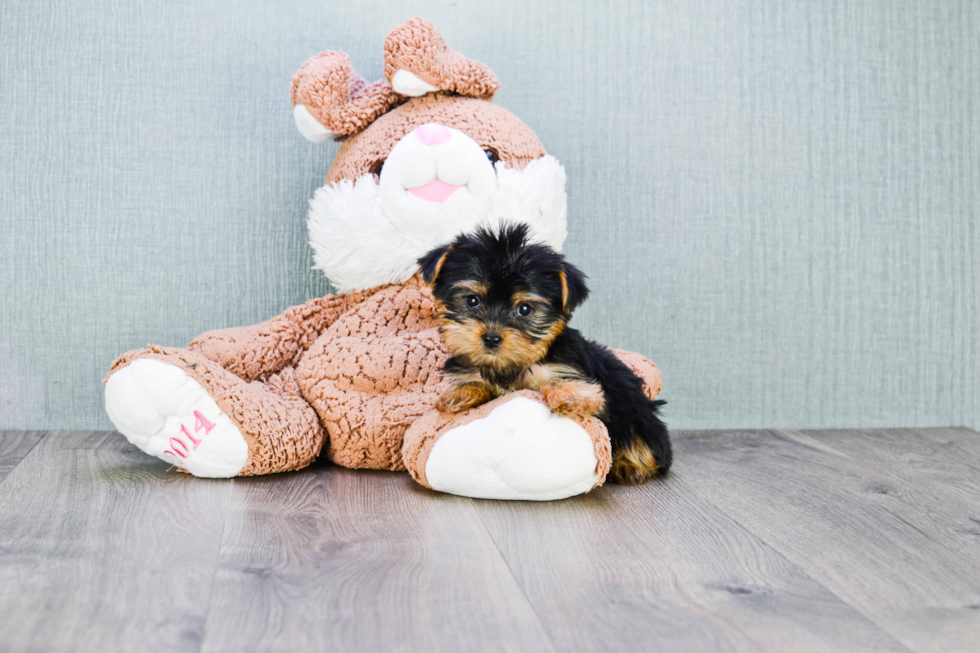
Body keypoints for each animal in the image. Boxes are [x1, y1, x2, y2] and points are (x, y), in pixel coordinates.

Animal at [418, 224, 668, 484]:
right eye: (472, 300)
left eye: (524, 309)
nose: (491, 338)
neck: (511, 365)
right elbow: (478, 383)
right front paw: (461, 393)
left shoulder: (572, 371)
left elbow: (572, 387)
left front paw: (569, 396)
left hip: (633, 411)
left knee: (641, 438)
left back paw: (630, 465)